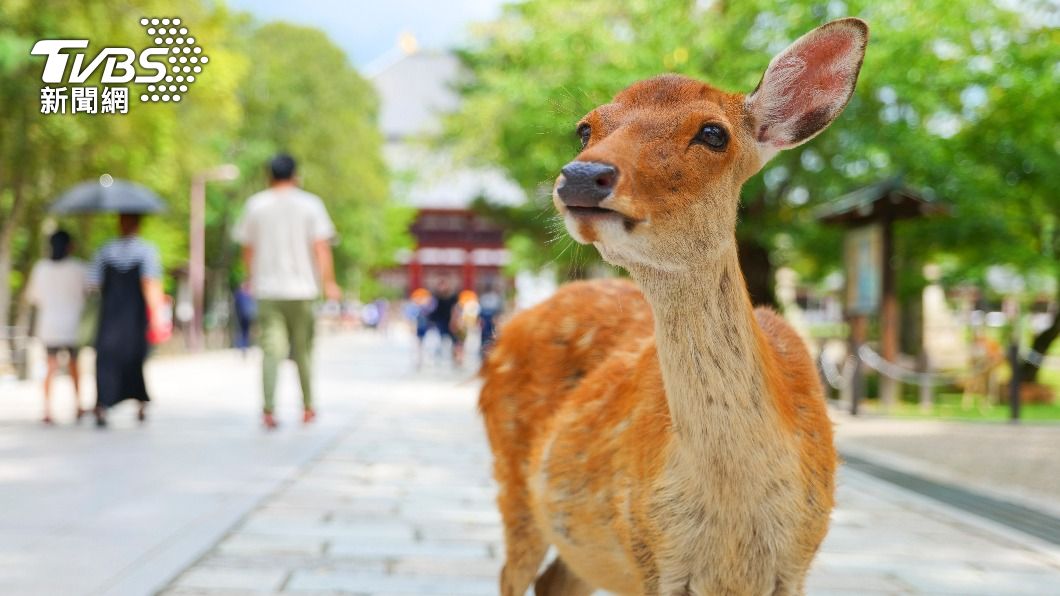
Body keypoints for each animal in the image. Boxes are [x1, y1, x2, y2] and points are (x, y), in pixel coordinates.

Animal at [479, 18, 868, 596]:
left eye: (714, 133)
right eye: (586, 128)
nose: (581, 176)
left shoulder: (800, 559)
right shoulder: (649, 553)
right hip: (513, 483)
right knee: (512, 572)